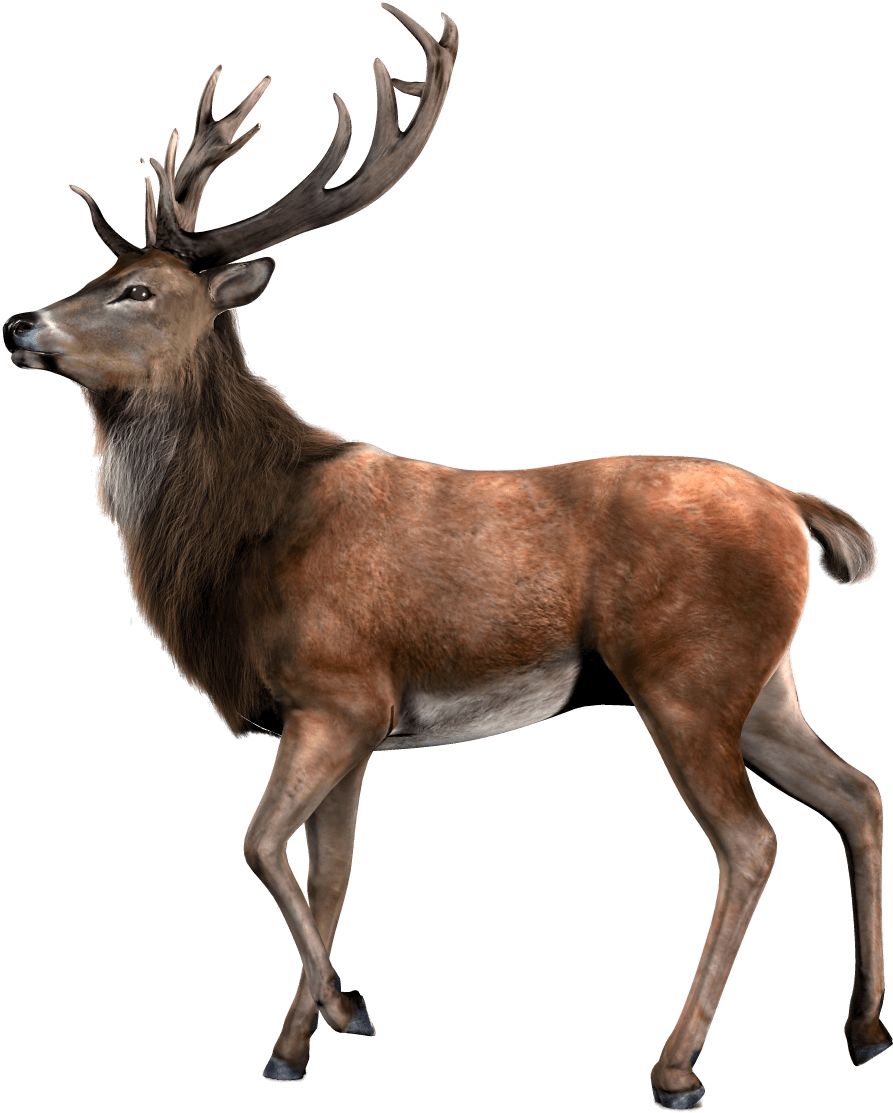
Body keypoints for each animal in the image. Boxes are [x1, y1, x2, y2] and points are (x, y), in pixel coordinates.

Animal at [4, 4, 887, 1107]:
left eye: (136, 289)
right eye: (92, 274)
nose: (18, 323)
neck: (242, 539)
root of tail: (799, 512)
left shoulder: (338, 690)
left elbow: (258, 846)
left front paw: (344, 1010)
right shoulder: (352, 721)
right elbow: (328, 871)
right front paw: (294, 1047)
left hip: (685, 675)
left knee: (751, 841)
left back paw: (676, 1065)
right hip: (762, 682)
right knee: (857, 793)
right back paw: (864, 1028)